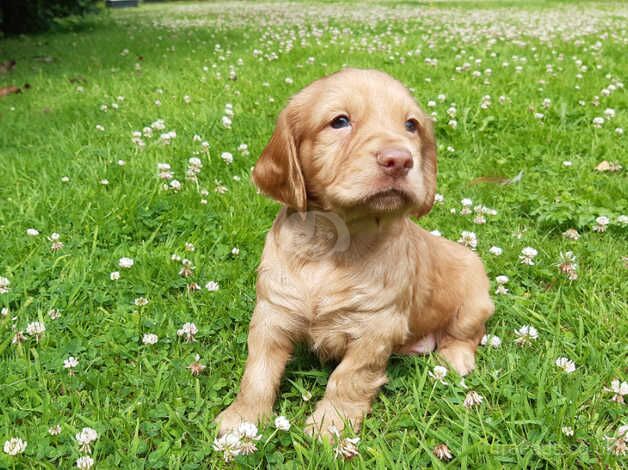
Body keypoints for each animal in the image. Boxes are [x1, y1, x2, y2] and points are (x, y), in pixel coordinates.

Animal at [217, 68, 496, 438]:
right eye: (340, 121)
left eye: (411, 125)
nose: (400, 159)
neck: (335, 243)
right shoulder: (272, 312)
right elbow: (258, 372)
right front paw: (242, 419)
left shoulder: (376, 326)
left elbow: (350, 377)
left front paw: (330, 425)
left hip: (474, 303)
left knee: (468, 334)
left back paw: (456, 358)